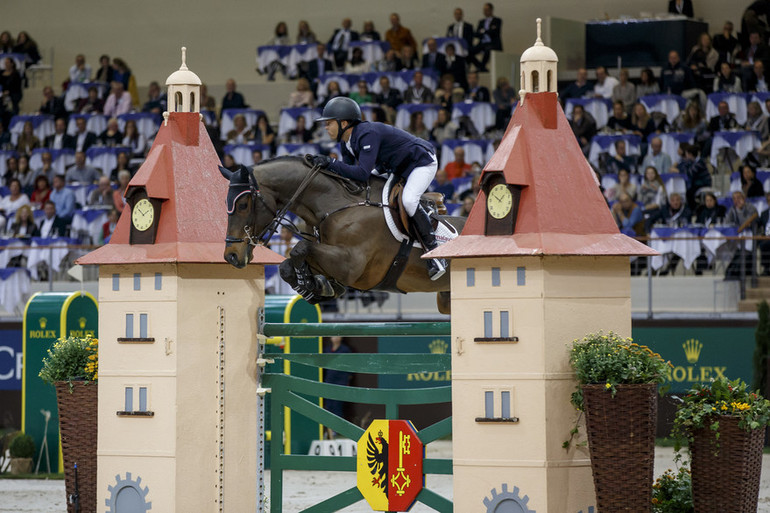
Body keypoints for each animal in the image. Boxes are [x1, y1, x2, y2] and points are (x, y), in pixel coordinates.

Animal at [219, 154, 464, 312]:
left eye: (243, 205)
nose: (231, 255)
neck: (336, 205)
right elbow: (287, 265)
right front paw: (316, 287)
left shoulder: (350, 265)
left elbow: (299, 248)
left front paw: (311, 284)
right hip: (446, 300)